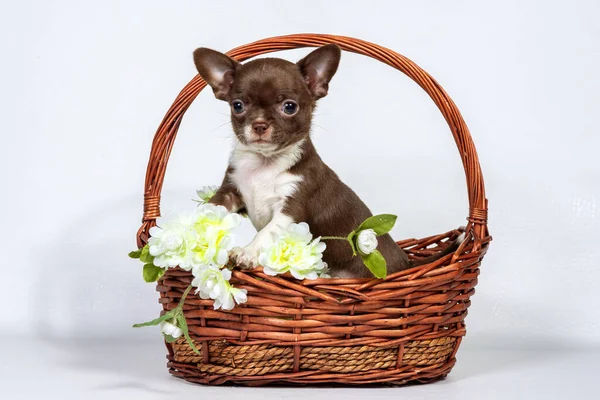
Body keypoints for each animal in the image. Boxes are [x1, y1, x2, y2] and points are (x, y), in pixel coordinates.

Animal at [195, 42, 458, 276]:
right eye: (238, 106)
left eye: (289, 107)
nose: (259, 124)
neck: (265, 164)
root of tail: (406, 265)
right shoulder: (231, 191)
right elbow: (210, 209)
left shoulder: (291, 208)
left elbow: (267, 231)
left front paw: (248, 252)